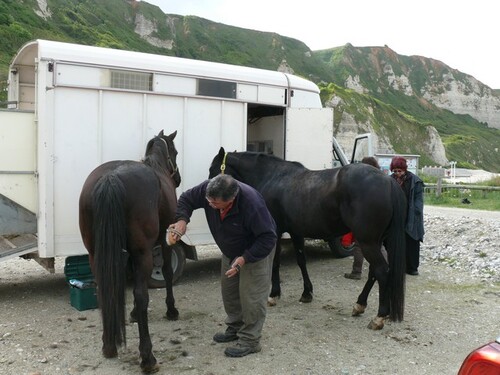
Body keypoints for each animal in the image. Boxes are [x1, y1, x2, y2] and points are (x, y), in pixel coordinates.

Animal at [78, 130, 180, 374]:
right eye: (175, 152)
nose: (178, 179)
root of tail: (111, 178)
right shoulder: (164, 240)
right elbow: (166, 273)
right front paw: (171, 309)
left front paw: (131, 314)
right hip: (143, 253)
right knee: (142, 295)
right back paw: (148, 357)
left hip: (96, 254)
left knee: (104, 290)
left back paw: (108, 345)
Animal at [209, 148, 408, 330]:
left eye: (213, 169)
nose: (209, 195)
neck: (272, 176)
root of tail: (387, 181)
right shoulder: (296, 232)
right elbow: (301, 261)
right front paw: (306, 293)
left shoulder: (276, 231)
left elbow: (275, 262)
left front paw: (274, 294)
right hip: (376, 242)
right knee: (374, 272)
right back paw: (360, 305)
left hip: (367, 242)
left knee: (382, 271)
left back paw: (379, 317)